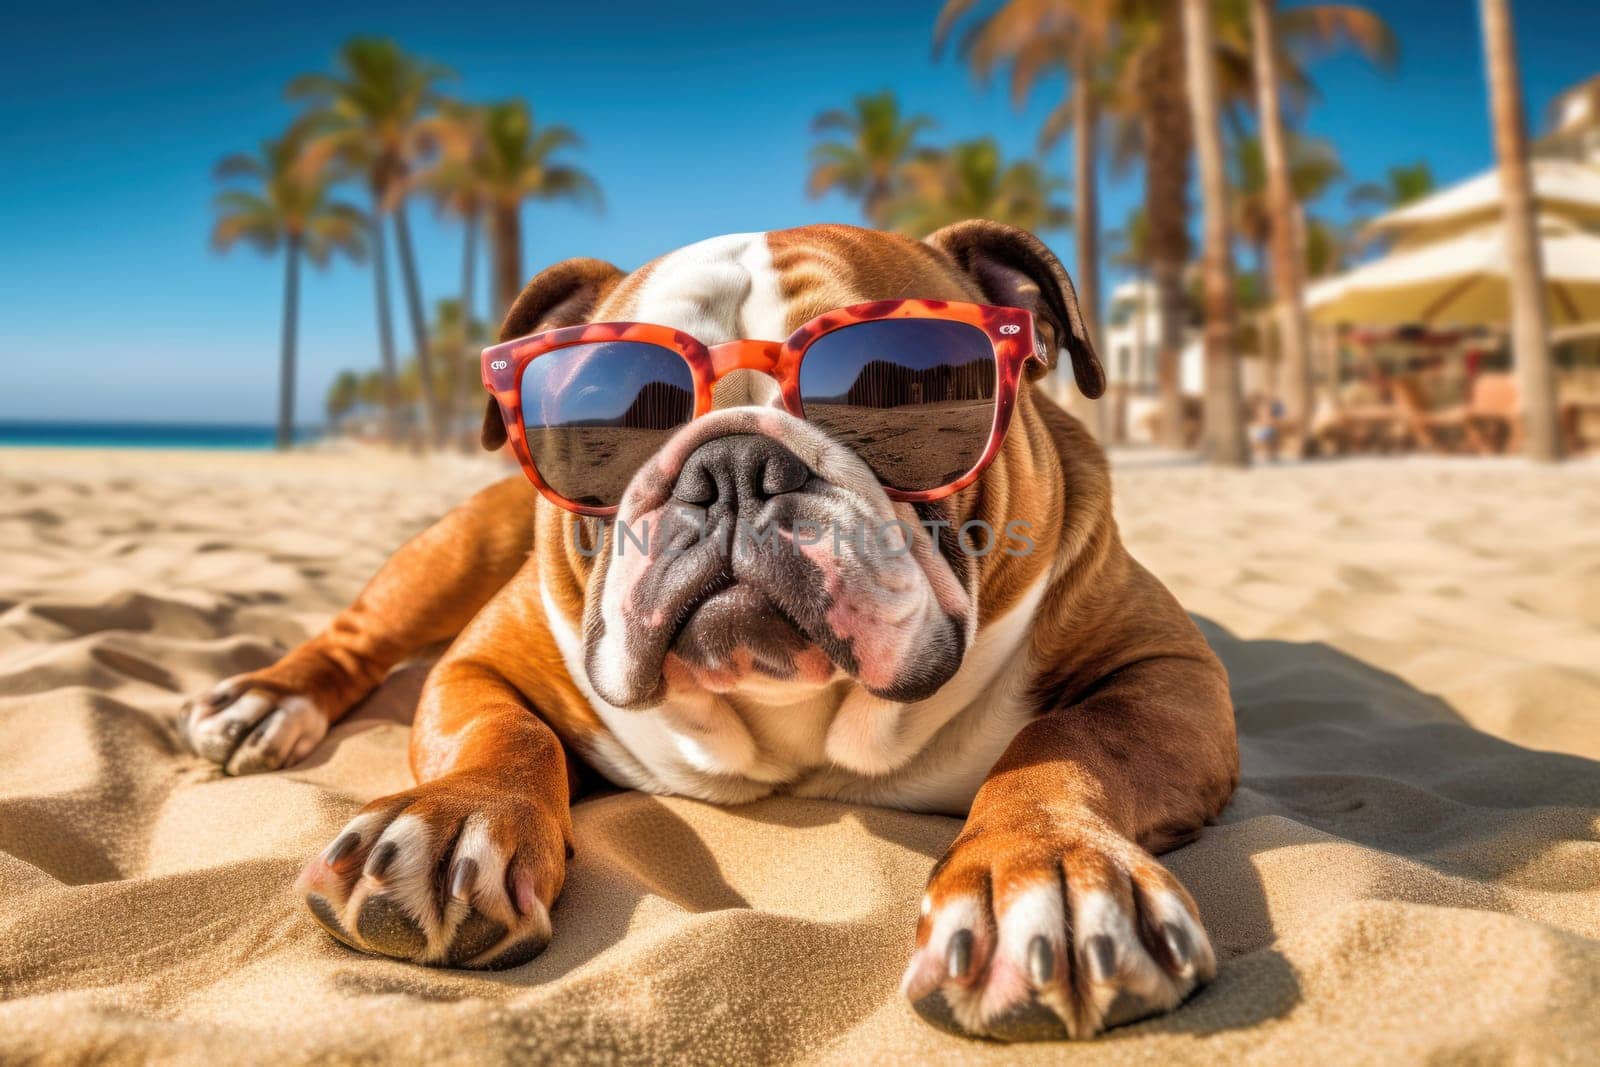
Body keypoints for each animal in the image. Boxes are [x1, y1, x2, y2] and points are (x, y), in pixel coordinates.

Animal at [184, 220, 1235, 1036]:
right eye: (610, 413)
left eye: (899, 397)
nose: (730, 465)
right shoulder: (483, 662)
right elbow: (502, 733)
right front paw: (453, 823)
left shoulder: (1167, 670)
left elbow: (1070, 742)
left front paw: (1042, 875)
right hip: (451, 551)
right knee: (360, 635)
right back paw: (265, 702)